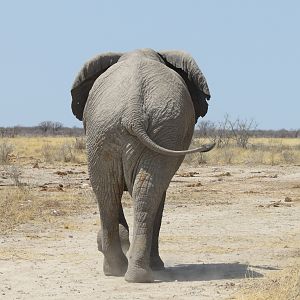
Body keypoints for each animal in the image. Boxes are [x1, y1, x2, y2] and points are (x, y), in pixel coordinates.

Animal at [71, 48, 214, 282]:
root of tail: (133, 110)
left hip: (125, 130)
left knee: (113, 191)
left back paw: (124, 271)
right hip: (118, 129)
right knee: (127, 191)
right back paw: (132, 271)